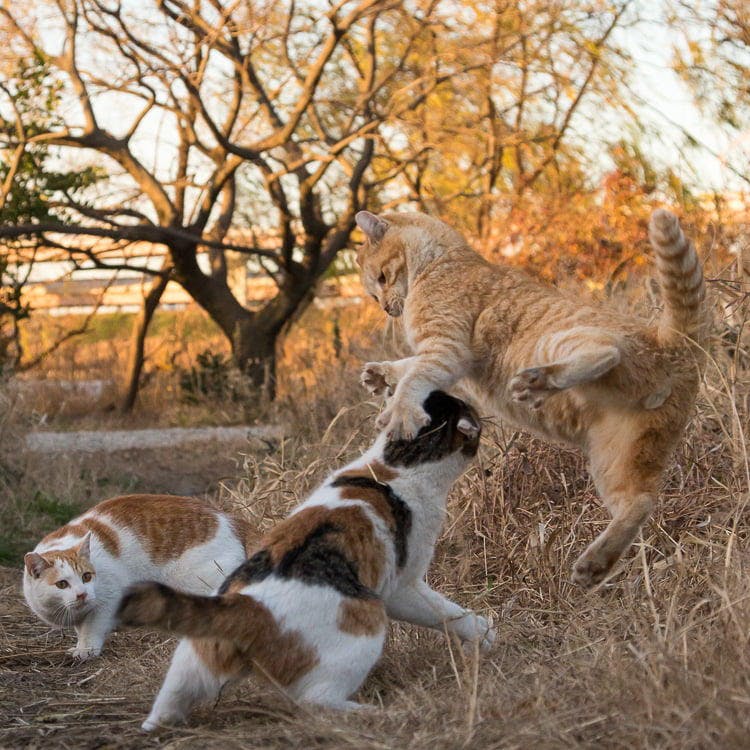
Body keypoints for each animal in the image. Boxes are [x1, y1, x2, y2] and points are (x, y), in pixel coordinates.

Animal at [23, 496, 253, 660]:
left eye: (86, 576)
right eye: (62, 584)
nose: (82, 594)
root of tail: (231, 519)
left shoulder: (108, 599)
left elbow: (92, 627)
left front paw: (86, 649)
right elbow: (82, 628)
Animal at [117, 394, 494, 736]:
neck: (395, 465)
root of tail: (245, 606)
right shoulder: (404, 586)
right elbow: (449, 613)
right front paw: (483, 635)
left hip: (190, 659)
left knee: (170, 698)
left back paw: (158, 724)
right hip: (367, 619)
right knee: (317, 702)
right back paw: (375, 712)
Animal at [356, 209, 708, 592]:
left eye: (382, 278)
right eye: (373, 293)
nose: (387, 308)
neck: (438, 261)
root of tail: (670, 343)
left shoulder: (446, 350)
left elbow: (414, 378)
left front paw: (397, 413)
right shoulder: (446, 360)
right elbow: (407, 368)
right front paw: (379, 376)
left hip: (556, 343)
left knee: (606, 352)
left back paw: (538, 382)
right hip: (615, 459)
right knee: (641, 502)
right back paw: (593, 566)